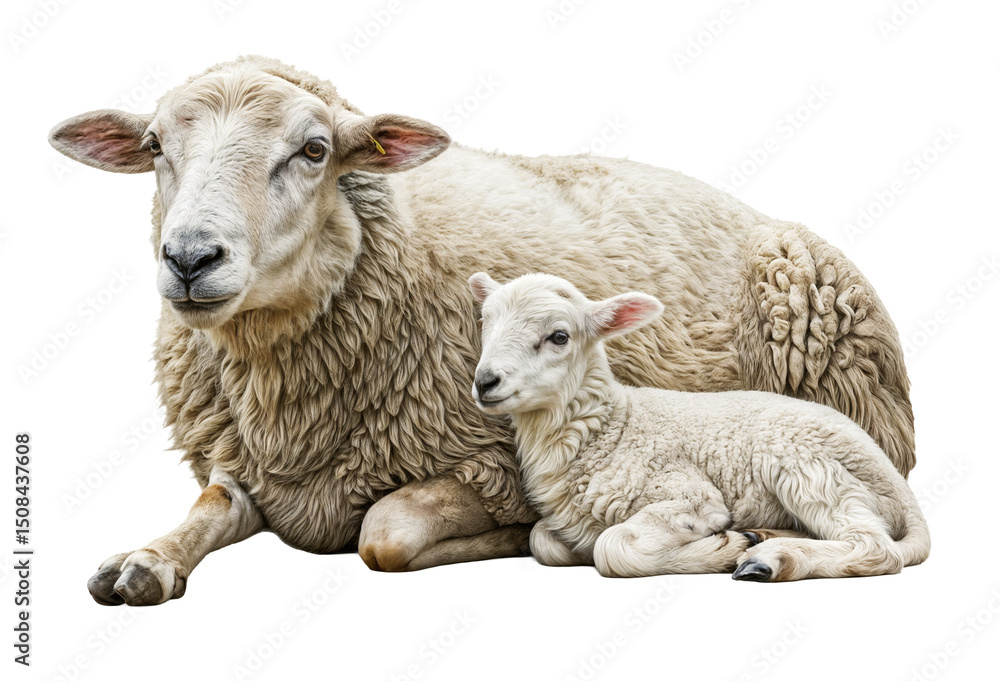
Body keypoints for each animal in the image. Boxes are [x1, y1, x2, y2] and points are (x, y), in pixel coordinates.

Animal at [469, 272, 930, 580]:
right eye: (484, 324)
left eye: (559, 336)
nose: (485, 381)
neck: (612, 427)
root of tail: (900, 487)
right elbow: (541, 540)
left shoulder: (690, 495)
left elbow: (612, 546)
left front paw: (720, 547)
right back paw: (762, 537)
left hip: (807, 464)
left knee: (875, 547)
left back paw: (768, 559)